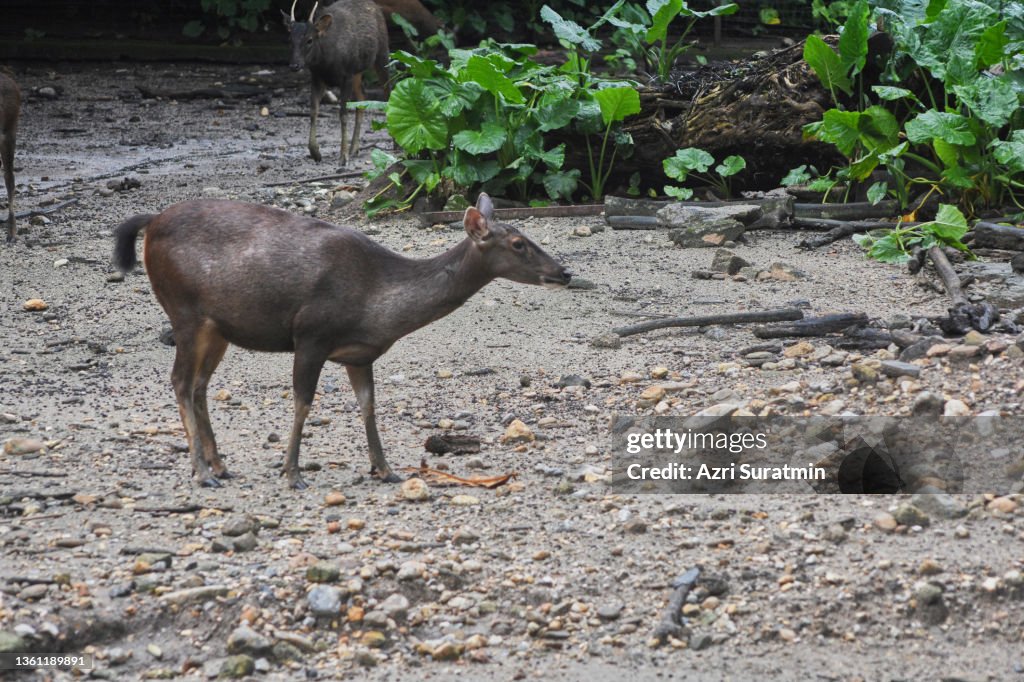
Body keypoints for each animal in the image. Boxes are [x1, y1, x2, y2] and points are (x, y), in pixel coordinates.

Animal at [111, 194, 570, 490]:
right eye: (518, 243)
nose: (564, 272)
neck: (376, 305)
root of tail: (150, 223)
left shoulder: (359, 354)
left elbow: (368, 406)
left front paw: (385, 469)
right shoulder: (311, 334)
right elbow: (303, 402)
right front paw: (292, 473)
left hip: (218, 327)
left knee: (200, 385)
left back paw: (220, 466)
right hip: (184, 312)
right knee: (180, 382)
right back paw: (203, 473)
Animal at [283, 0, 389, 165]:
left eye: (309, 40)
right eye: (289, 40)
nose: (294, 65)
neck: (326, 63)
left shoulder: (347, 76)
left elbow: (343, 114)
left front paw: (343, 156)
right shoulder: (317, 77)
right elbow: (313, 111)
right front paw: (315, 152)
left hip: (382, 53)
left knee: (388, 90)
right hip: (357, 72)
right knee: (362, 98)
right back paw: (354, 148)